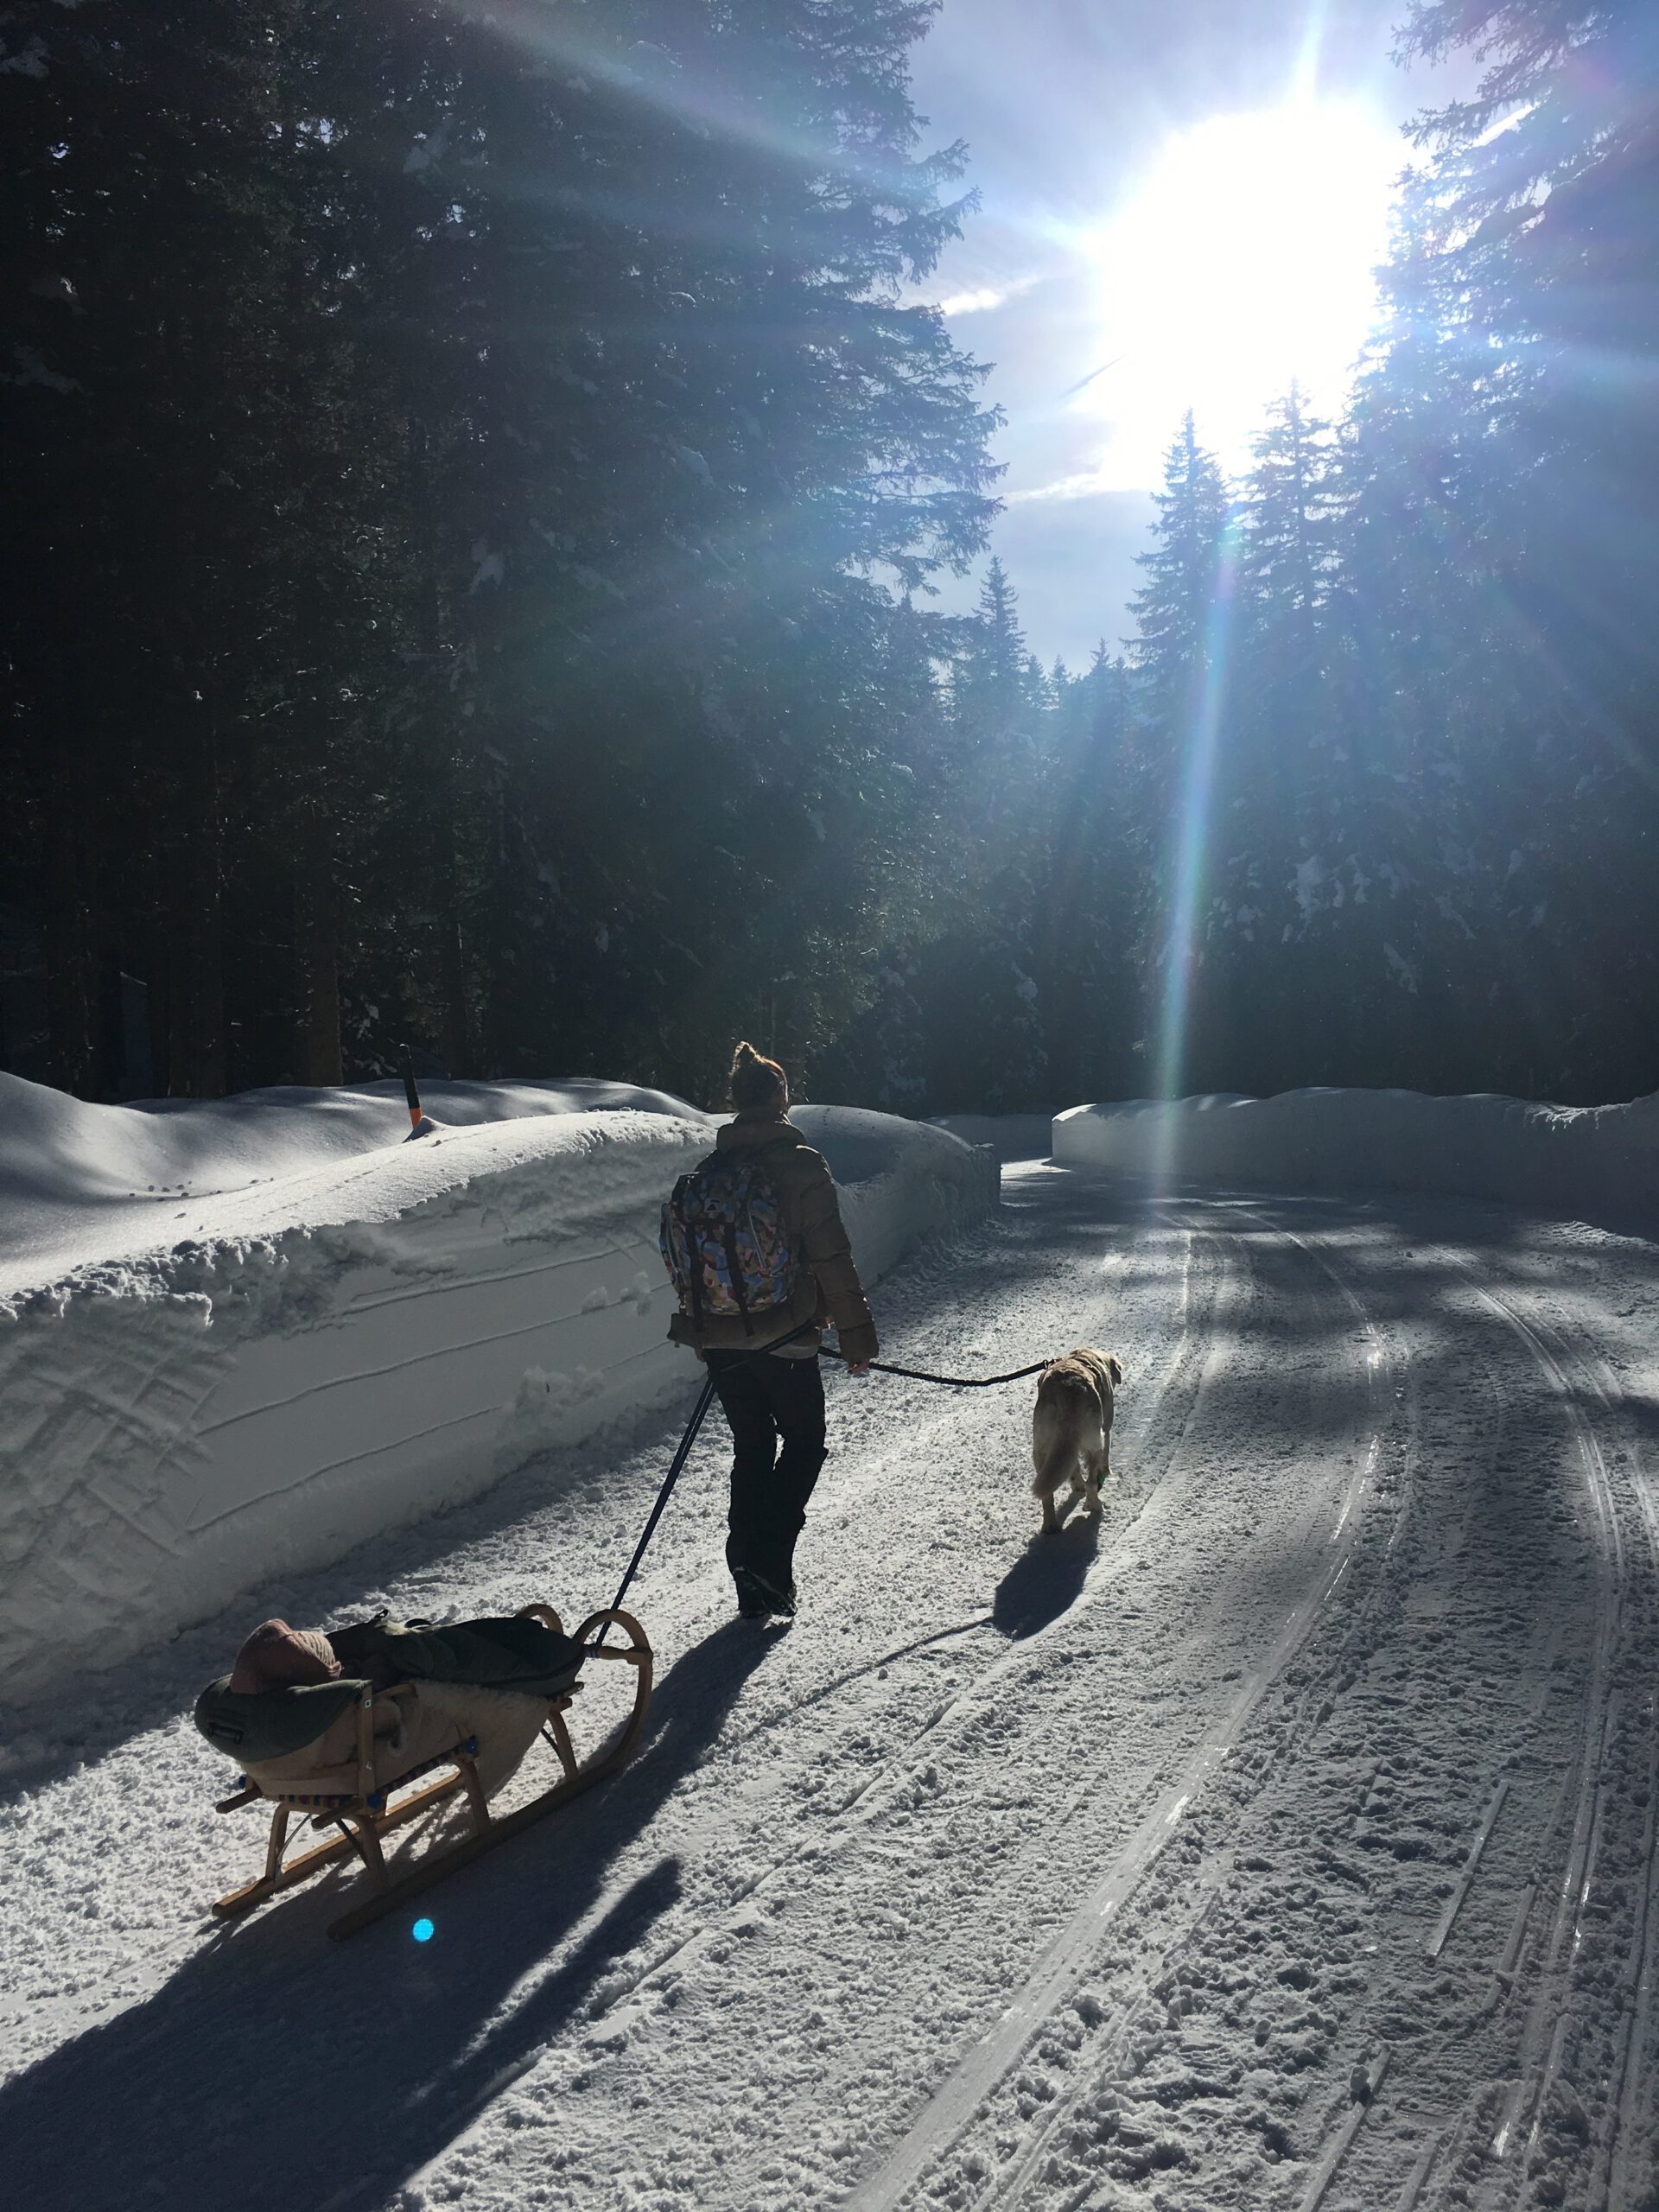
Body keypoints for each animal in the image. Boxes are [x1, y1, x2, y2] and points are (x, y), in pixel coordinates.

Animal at [1035, 1344, 1123, 1539]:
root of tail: (1066, 1390)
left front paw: (1077, 1484)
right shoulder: (1106, 1429)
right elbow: (1106, 1455)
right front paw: (1106, 1471)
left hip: (1041, 1448)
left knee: (1048, 1494)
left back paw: (1050, 1525)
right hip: (1093, 1441)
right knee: (1091, 1482)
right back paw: (1095, 1505)